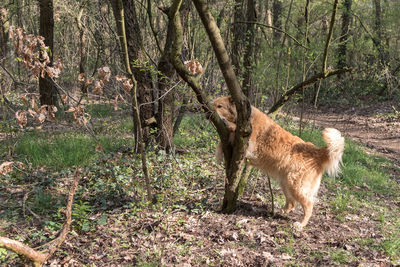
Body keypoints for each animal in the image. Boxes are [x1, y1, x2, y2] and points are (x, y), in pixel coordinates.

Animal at [214, 97, 346, 229]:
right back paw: (279, 212)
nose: (208, 111)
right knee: (292, 203)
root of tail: (317, 151)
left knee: (309, 205)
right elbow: (222, 142)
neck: (244, 117)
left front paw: (228, 124)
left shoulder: (249, 141)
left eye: (219, 106)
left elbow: (235, 129)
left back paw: (301, 224)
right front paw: (219, 154)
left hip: (295, 186)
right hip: (285, 184)